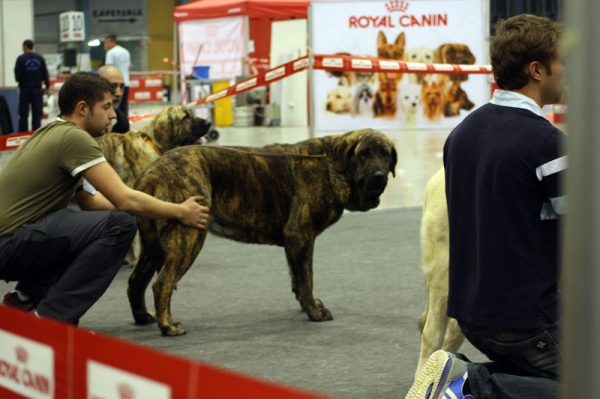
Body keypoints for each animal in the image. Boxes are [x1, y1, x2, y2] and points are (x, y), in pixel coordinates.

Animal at [129, 130, 396, 336]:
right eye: (363, 154)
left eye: (385, 154)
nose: (379, 176)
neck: (329, 165)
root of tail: (151, 172)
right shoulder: (301, 236)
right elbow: (307, 278)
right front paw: (314, 312)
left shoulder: (294, 243)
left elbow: (297, 279)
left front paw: (306, 304)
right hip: (188, 237)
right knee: (162, 284)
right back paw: (168, 326)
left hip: (153, 247)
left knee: (136, 281)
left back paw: (142, 317)